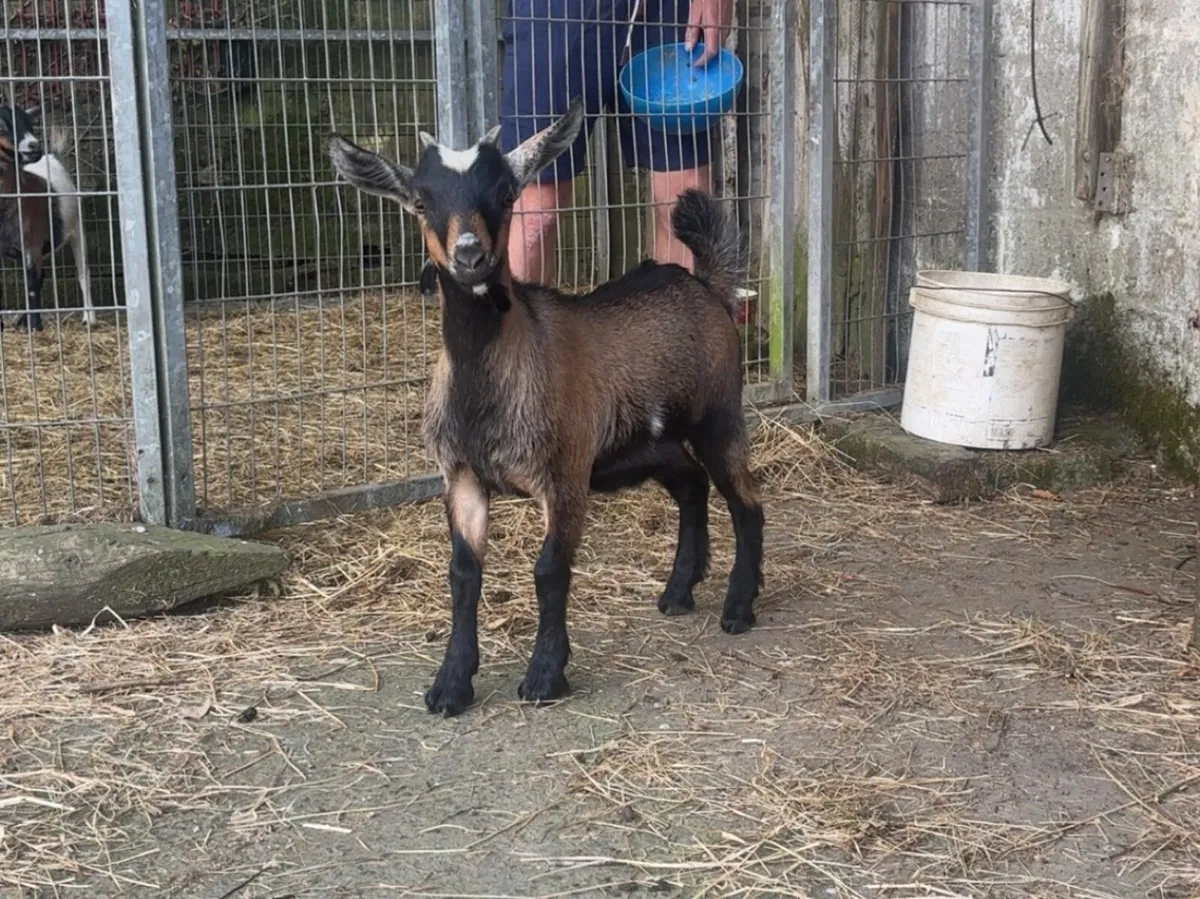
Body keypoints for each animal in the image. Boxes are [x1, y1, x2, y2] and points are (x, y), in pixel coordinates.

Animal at [0, 110, 93, 330]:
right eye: (2, 124)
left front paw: (34, 326)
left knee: (83, 274)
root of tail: (54, 157)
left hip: (75, 228)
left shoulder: (32, 243)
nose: (34, 146)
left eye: (30, 124)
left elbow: (32, 285)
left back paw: (89, 319)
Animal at [328, 99, 764, 717]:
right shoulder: (462, 475)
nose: (470, 255)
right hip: (645, 444)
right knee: (691, 484)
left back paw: (738, 608)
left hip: (719, 414)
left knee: (745, 500)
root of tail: (705, 284)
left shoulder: (563, 475)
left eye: (505, 192)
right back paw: (679, 591)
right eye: (420, 201)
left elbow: (550, 570)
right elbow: (464, 574)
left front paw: (544, 675)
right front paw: (450, 685)